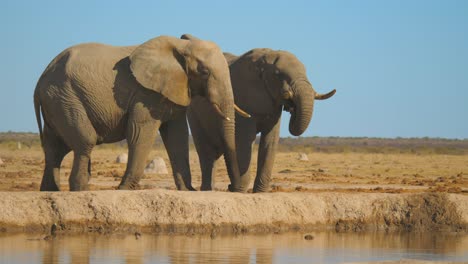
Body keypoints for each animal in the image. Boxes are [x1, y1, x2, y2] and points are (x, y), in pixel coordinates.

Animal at [34, 34, 249, 192]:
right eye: (204, 72)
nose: (232, 188)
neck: (180, 46)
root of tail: (40, 81)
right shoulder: (145, 94)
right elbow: (140, 133)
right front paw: (124, 189)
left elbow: (177, 137)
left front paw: (188, 191)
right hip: (64, 97)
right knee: (85, 141)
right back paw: (79, 190)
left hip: (56, 101)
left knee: (55, 148)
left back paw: (50, 190)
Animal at [186, 45, 336, 191]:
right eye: (277, 74)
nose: (292, 107)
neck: (267, 57)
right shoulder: (243, 94)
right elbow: (245, 141)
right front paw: (241, 190)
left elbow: (270, 140)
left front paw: (260, 191)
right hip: (194, 113)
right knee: (206, 151)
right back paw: (208, 189)